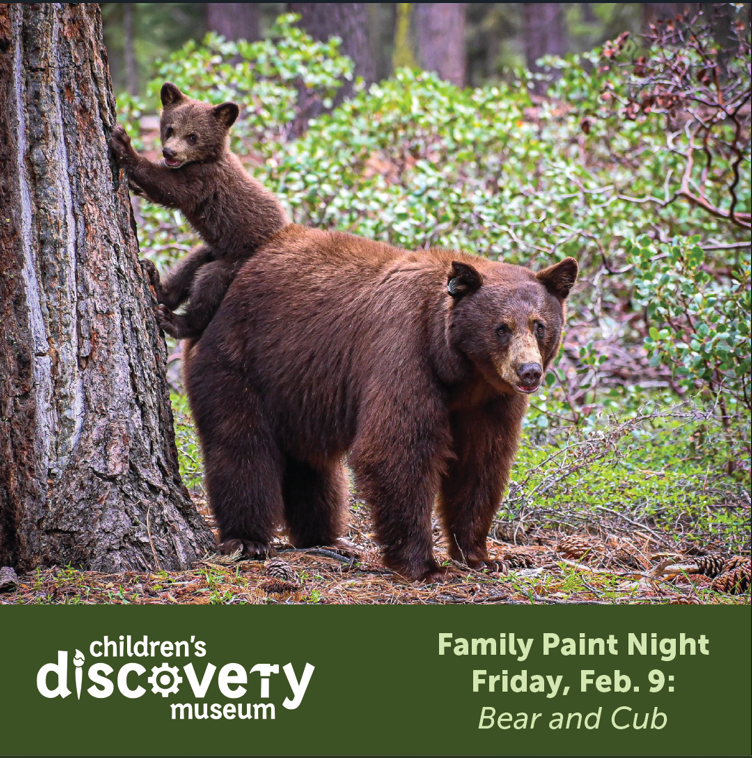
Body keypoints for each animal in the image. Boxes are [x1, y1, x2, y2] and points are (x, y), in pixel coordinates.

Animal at [109, 82, 288, 340]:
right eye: (170, 129)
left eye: (193, 136)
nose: (169, 152)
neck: (205, 160)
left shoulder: (203, 181)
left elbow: (169, 188)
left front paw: (124, 144)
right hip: (214, 249)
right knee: (190, 265)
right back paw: (157, 283)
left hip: (235, 263)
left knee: (209, 284)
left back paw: (174, 320)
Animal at [182, 223, 578, 582]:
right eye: (501, 328)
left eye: (540, 325)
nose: (529, 371)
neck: (459, 370)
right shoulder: (404, 351)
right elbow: (397, 450)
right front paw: (424, 565)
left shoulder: (491, 399)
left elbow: (480, 463)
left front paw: (482, 556)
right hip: (239, 361)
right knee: (242, 447)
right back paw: (248, 539)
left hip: (298, 388)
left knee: (312, 464)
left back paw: (325, 539)